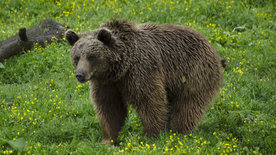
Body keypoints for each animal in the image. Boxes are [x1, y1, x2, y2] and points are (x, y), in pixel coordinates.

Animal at [66, 20, 225, 145]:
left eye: (92, 56)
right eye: (77, 57)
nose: (80, 75)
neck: (121, 68)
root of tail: (211, 46)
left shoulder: (141, 70)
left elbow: (150, 101)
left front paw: (152, 135)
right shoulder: (107, 83)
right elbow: (109, 107)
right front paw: (107, 140)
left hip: (194, 72)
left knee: (187, 105)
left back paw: (179, 132)